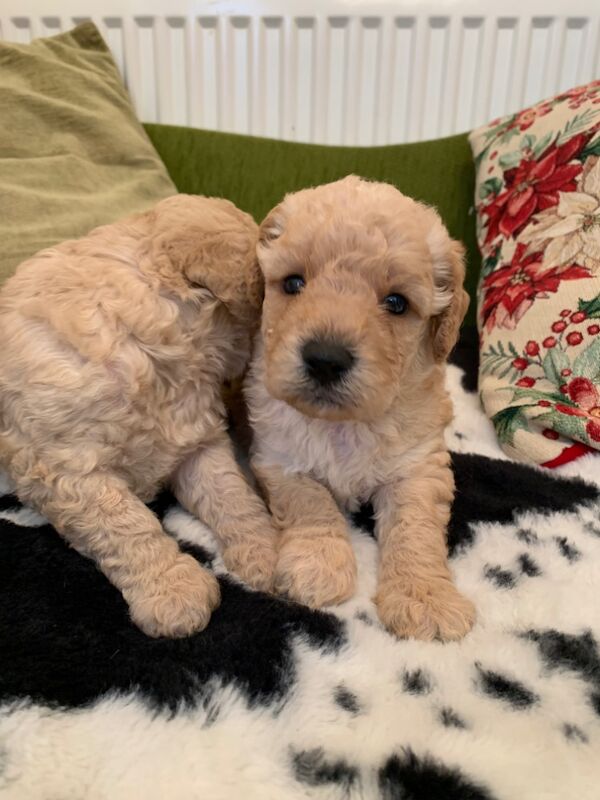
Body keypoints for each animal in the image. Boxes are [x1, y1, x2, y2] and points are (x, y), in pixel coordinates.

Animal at [0, 194, 278, 636]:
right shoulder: (66, 471)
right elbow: (126, 524)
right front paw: (174, 591)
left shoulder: (197, 442)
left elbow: (231, 493)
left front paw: (264, 548)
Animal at [246, 177, 476, 644]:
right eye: (293, 283)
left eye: (397, 302)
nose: (325, 359)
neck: (343, 425)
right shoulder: (278, 458)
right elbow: (311, 501)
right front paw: (317, 565)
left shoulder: (419, 466)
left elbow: (415, 529)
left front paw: (426, 598)